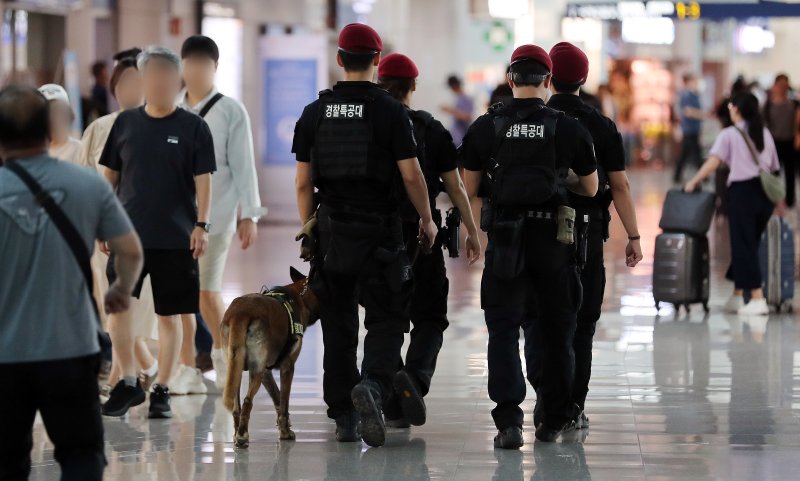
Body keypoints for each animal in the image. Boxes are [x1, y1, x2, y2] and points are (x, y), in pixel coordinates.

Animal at [222, 267, 320, 448]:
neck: (298, 296)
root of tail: (240, 313)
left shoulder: (266, 373)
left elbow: (277, 398)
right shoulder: (287, 366)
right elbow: (284, 402)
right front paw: (285, 432)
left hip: (237, 368)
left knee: (237, 406)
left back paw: (237, 434)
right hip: (256, 371)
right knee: (247, 401)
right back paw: (242, 436)